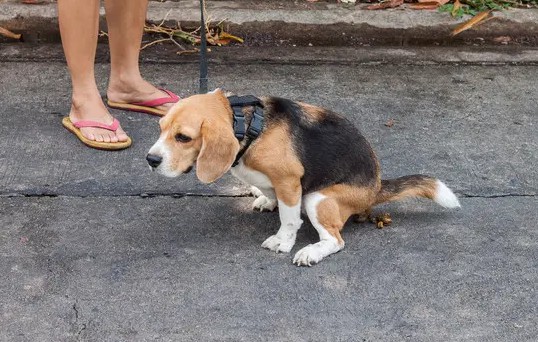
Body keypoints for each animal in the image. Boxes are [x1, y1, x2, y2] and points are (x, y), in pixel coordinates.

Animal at [148, 89, 460, 266]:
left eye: (183, 137)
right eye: (160, 128)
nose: (151, 160)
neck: (248, 126)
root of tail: (377, 187)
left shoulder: (289, 180)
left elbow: (288, 219)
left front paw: (283, 242)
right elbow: (271, 194)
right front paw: (267, 199)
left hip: (318, 199)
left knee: (335, 240)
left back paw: (311, 252)